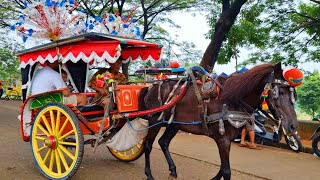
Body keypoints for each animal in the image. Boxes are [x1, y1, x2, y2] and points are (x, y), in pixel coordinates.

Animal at [139, 62, 298, 179]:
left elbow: (223, 167)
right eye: (280, 92)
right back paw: (148, 174)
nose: (292, 126)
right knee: (148, 145)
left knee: (163, 142)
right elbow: (226, 171)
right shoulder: (223, 139)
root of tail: (152, 87)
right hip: (155, 120)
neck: (233, 100)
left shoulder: (227, 140)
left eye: (293, 95)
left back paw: (172, 170)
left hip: (174, 124)